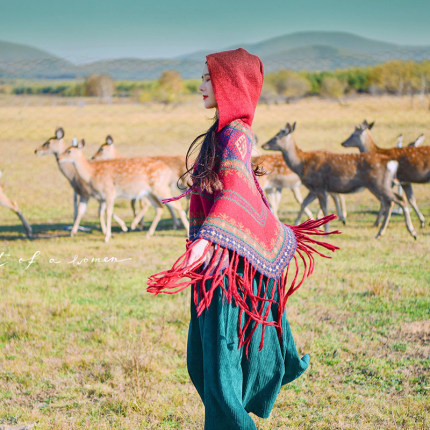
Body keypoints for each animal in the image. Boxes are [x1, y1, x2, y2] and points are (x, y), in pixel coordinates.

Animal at [58, 141, 188, 242]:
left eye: (69, 151)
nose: (59, 158)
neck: (91, 174)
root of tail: (168, 170)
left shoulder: (109, 192)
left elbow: (108, 212)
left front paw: (107, 237)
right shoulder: (101, 196)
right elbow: (96, 211)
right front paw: (73, 232)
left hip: (160, 187)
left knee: (177, 204)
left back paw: (186, 231)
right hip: (150, 192)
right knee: (159, 207)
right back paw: (148, 234)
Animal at [262, 122, 416, 240]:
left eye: (277, 136)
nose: (264, 145)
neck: (302, 164)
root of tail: (392, 163)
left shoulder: (319, 186)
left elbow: (324, 208)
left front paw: (325, 233)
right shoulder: (314, 188)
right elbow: (304, 204)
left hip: (379, 184)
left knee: (399, 200)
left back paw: (411, 232)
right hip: (379, 185)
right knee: (391, 201)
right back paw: (381, 232)